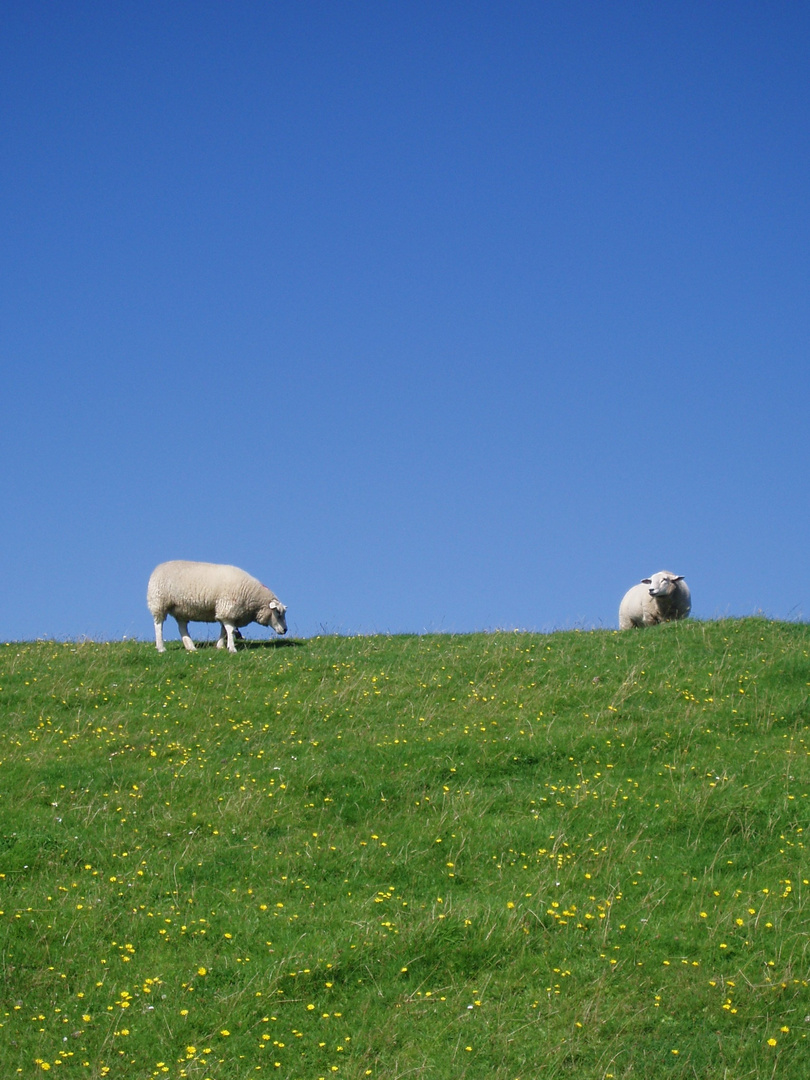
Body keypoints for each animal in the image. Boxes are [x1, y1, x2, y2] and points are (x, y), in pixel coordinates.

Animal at [145, 561, 289, 652]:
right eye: (278, 612)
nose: (285, 630)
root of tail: (157, 568)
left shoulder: (226, 612)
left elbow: (224, 630)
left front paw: (220, 645)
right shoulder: (227, 608)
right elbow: (230, 630)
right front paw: (232, 648)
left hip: (181, 609)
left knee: (182, 627)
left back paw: (191, 647)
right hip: (159, 602)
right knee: (158, 625)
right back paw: (161, 647)